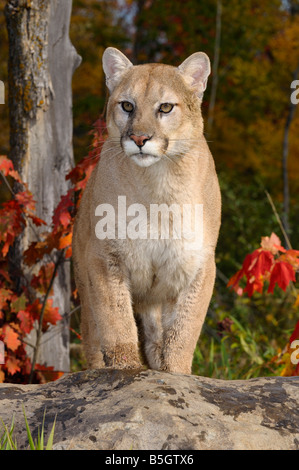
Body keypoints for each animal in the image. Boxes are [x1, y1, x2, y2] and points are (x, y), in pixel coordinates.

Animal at [73, 46, 221, 372]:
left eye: (165, 107)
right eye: (127, 105)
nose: (139, 138)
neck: (158, 186)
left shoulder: (199, 264)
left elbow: (183, 331)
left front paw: (176, 373)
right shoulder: (104, 256)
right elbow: (116, 320)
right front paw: (126, 369)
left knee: (156, 336)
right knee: (93, 337)